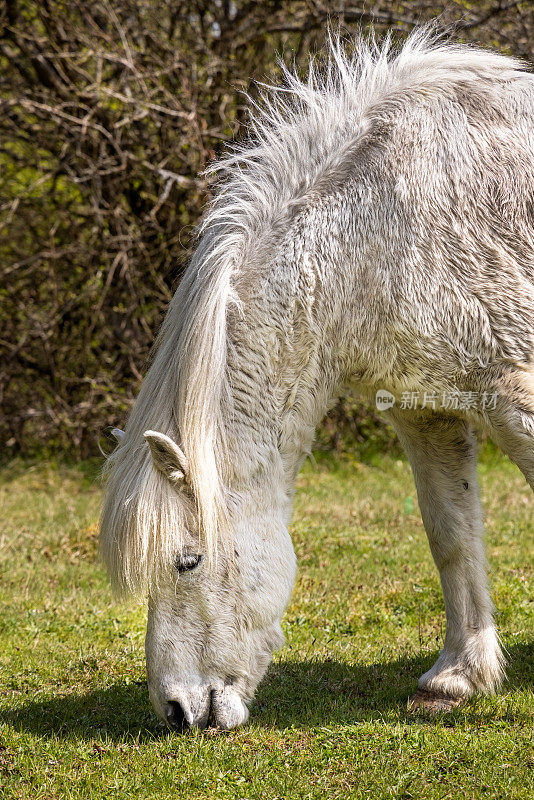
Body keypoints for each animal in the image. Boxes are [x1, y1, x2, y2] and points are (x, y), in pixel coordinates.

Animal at [100, 29, 534, 732]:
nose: (176, 710)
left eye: (188, 561)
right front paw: (457, 678)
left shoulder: (514, 398)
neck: (382, 228)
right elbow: (450, 534)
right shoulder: (426, 411)